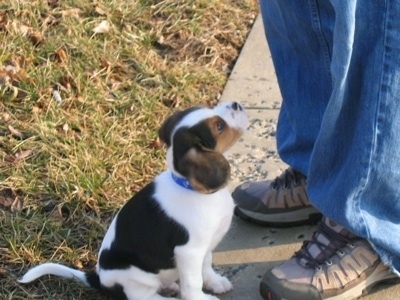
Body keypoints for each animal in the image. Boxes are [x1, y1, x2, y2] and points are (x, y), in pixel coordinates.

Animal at [21, 101, 250, 300]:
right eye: (219, 126)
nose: (236, 104)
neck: (190, 187)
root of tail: (100, 280)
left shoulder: (205, 247)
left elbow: (206, 266)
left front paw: (215, 282)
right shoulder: (189, 252)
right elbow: (193, 283)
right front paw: (200, 298)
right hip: (135, 278)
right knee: (143, 298)